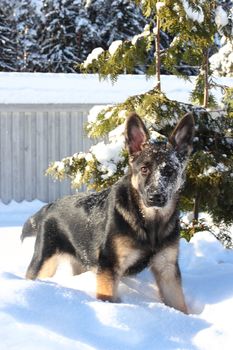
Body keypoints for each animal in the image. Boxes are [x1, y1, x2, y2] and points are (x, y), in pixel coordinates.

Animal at [21, 113, 194, 314]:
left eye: (170, 171)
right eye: (144, 169)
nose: (155, 197)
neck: (150, 222)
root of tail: (51, 205)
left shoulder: (167, 270)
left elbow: (180, 305)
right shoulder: (109, 267)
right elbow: (107, 298)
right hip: (44, 263)